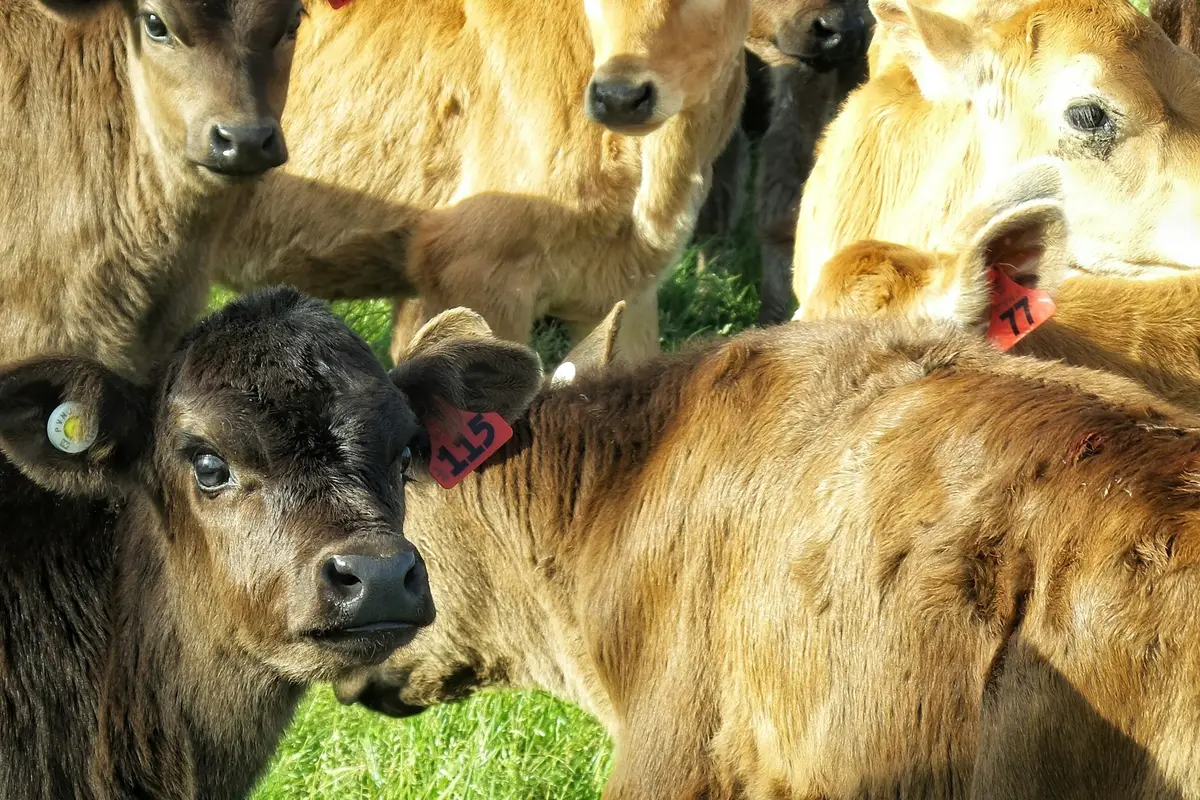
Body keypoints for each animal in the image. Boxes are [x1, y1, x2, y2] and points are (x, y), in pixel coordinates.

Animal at [694, 0, 873, 326]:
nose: (845, 31)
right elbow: (714, 204)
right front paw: (707, 297)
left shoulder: (802, 73)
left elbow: (780, 205)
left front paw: (770, 319)